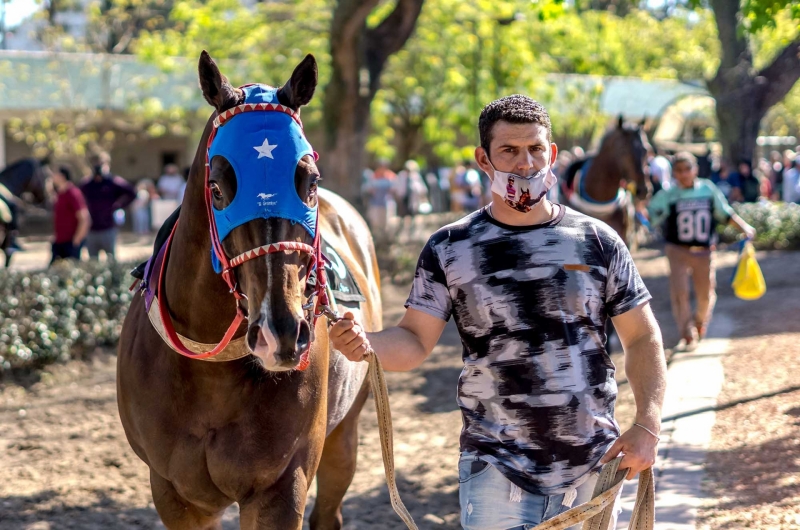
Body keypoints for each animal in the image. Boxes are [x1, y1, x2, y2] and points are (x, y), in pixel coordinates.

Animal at [115, 50, 382, 528]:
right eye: (218, 187)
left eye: (310, 182)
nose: (281, 334)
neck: (210, 369)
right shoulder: (175, 495)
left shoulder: (280, 487)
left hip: (345, 430)